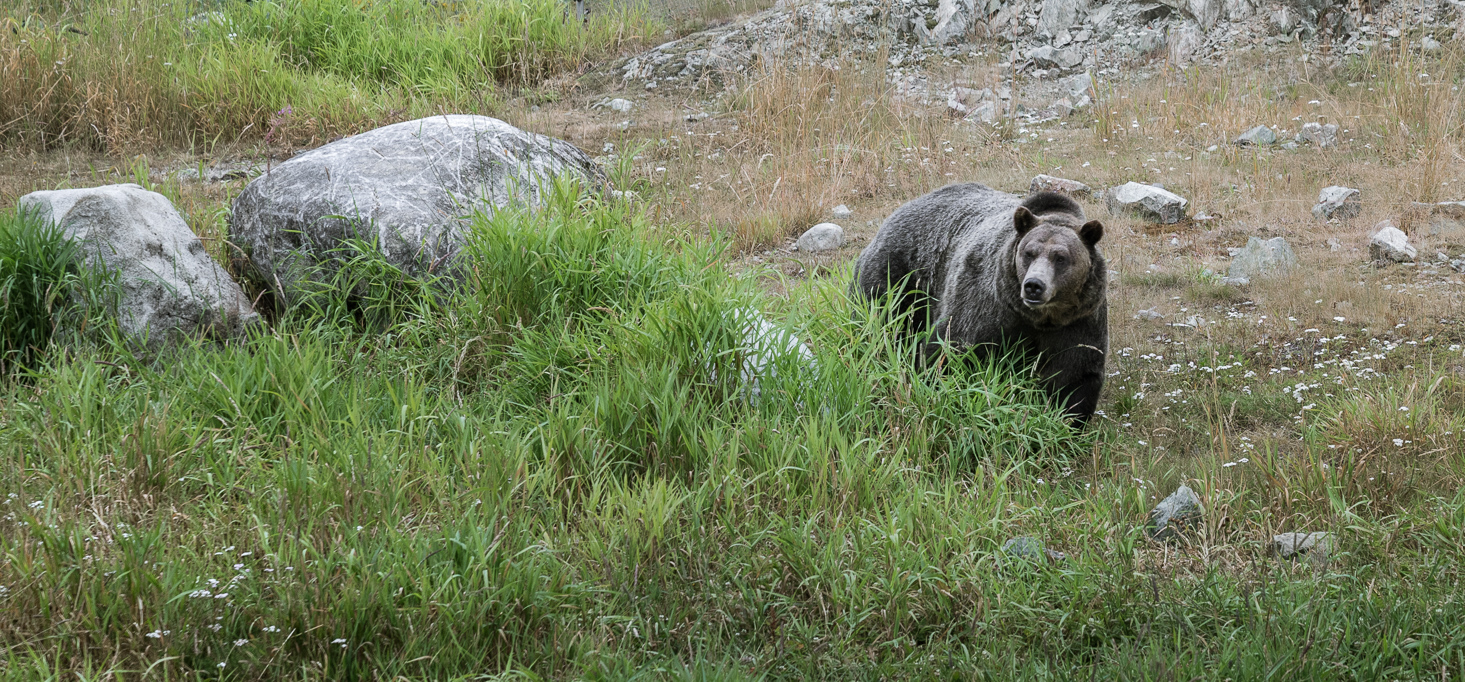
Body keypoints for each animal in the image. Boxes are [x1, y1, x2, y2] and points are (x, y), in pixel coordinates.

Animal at [855, 183, 1101, 424]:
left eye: (1061, 257)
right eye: (1029, 253)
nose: (1034, 285)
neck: (1038, 318)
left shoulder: (1077, 323)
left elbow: (1073, 378)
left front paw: (1066, 420)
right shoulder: (987, 308)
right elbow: (948, 350)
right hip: (899, 276)